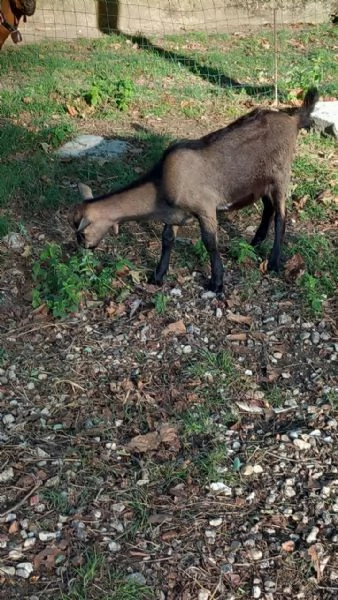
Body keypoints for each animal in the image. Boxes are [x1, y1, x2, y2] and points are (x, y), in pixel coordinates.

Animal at [70, 88, 318, 292]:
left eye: (81, 233)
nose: (84, 248)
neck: (161, 184)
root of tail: (293, 119)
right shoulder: (174, 212)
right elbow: (167, 238)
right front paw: (157, 276)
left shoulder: (205, 207)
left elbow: (210, 243)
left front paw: (217, 283)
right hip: (261, 181)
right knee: (268, 207)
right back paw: (256, 240)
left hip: (281, 174)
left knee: (281, 215)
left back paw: (274, 262)